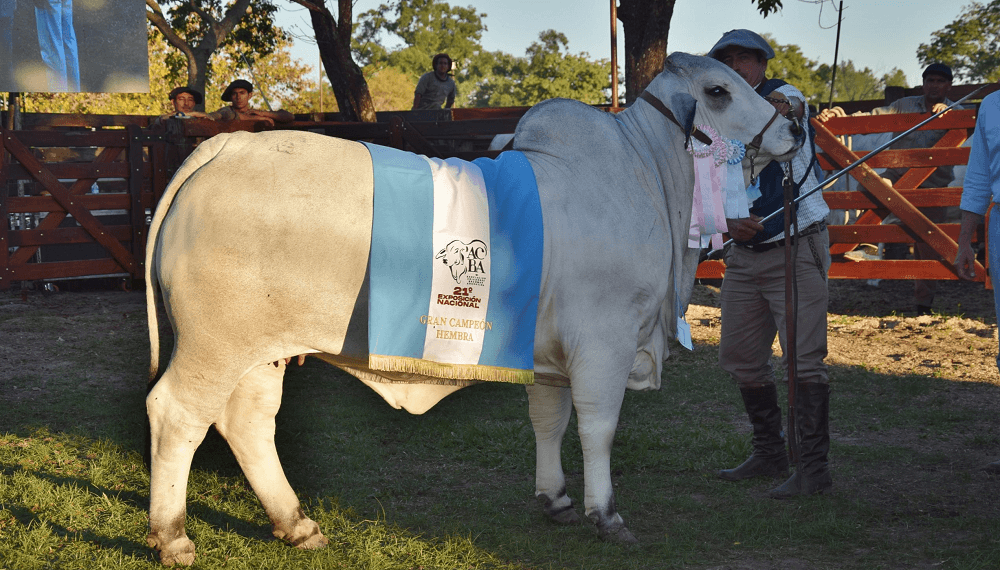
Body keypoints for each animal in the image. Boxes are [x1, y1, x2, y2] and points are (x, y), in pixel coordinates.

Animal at [145, 52, 804, 564]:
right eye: (718, 91)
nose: (795, 126)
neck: (646, 176)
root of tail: (226, 146)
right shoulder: (605, 343)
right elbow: (598, 427)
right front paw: (607, 514)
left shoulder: (551, 356)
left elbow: (548, 420)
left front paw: (556, 499)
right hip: (213, 343)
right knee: (177, 414)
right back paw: (172, 537)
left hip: (262, 350)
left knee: (248, 422)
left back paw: (296, 524)